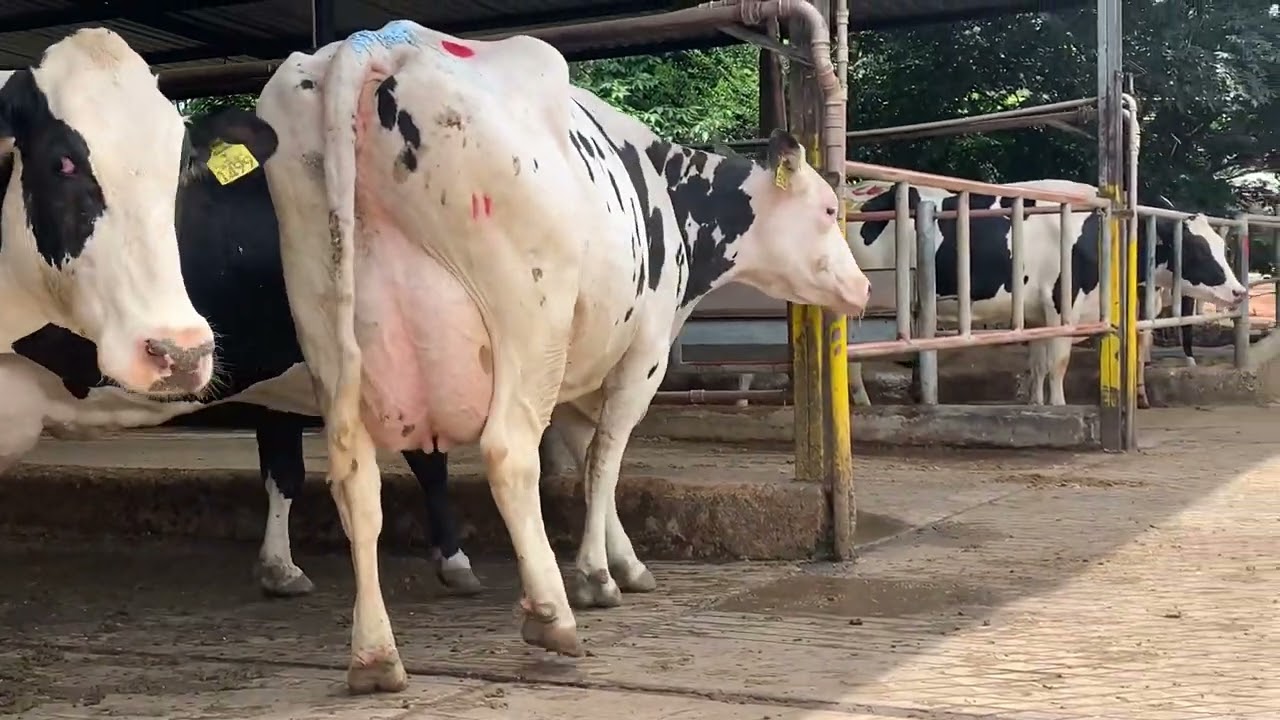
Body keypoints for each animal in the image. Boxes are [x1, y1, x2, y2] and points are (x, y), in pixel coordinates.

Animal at [255, 20, 870, 693]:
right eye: (829, 210)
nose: (863, 288)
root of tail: (377, 40)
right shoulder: (643, 354)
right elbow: (605, 459)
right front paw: (598, 577)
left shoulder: (579, 372)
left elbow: (582, 455)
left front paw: (623, 561)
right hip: (526, 318)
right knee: (506, 452)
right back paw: (551, 614)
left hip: (325, 318)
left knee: (352, 475)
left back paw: (374, 656)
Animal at [843, 179, 1245, 406]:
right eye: (1195, 250)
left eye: (1220, 246)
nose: (1240, 291)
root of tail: (853, 194)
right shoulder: (1062, 305)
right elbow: (1058, 364)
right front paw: (1059, 406)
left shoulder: (1036, 314)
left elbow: (1036, 365)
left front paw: (1037, 404)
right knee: (853, 360)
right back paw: (862, 404)